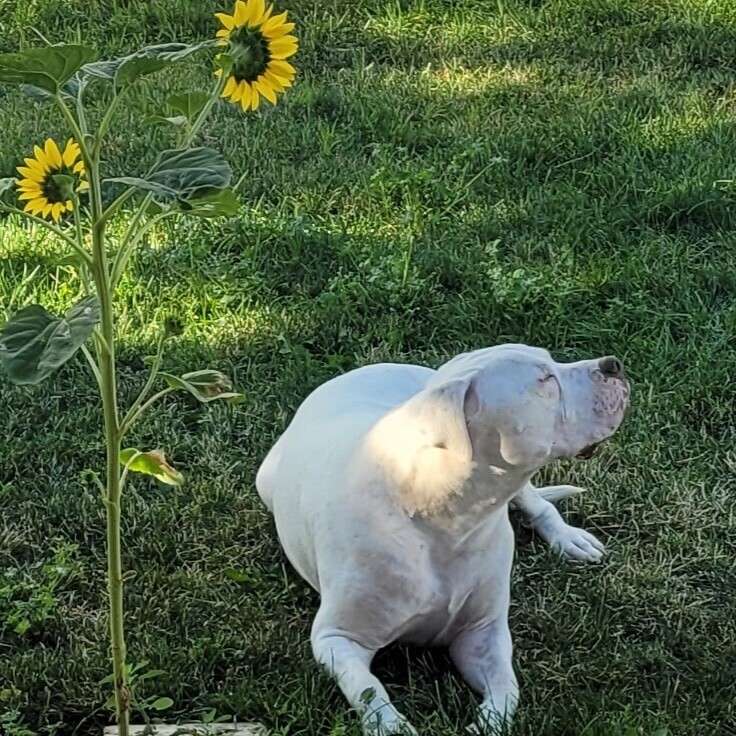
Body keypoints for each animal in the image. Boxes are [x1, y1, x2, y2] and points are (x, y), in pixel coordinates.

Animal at [256, 346, 628, 736]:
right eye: (546, 380)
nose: (612, 365)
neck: (437, 514)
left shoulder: (482, 633)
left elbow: (506, 689)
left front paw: (488, 723)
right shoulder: (337, 638)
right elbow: (368, 689)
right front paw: (391, 726)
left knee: (537, 503)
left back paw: (569, 538)